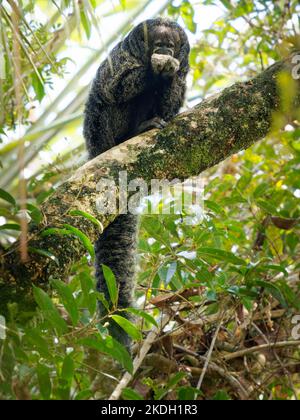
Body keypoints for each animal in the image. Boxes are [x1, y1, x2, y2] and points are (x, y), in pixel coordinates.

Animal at [83, 18, 189, 348]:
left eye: (171, 44)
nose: (164, 49)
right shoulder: (120, 57)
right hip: (102, 132)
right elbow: (114, 87)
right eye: (159, 43)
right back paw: (131, 134)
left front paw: (168, 70)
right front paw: (157, 68)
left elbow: (172, 99)